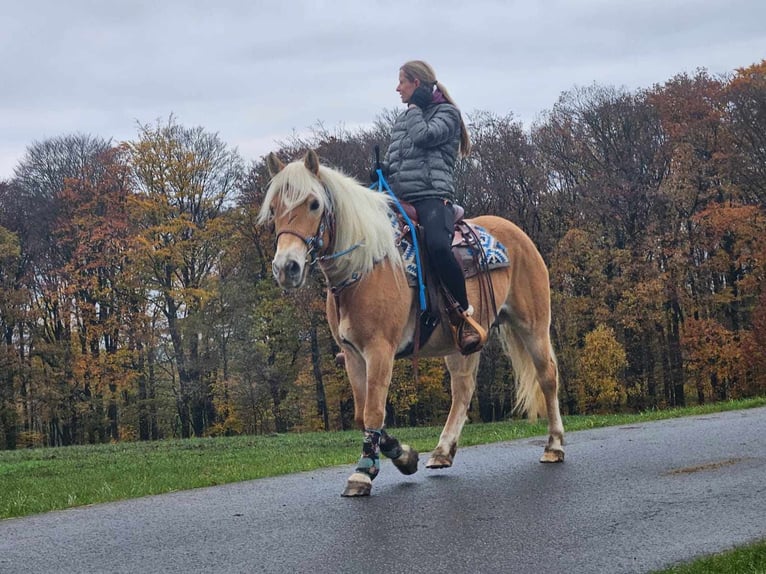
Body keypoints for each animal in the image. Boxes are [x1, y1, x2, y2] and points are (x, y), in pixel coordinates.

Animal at [258, 151, 564, 498]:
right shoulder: (352, 355)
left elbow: (374, 410)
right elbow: (363, 414)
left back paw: (554, 446)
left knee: (547, 376)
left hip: (533, 325)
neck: (366, 266)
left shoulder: (380, 351)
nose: (287, 268)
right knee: (463, 389)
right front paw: (403, 455)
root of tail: (517, 234)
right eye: (274, 209)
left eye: (313, 204)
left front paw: (363, 473)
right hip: (461, 342)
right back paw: (442, 452)